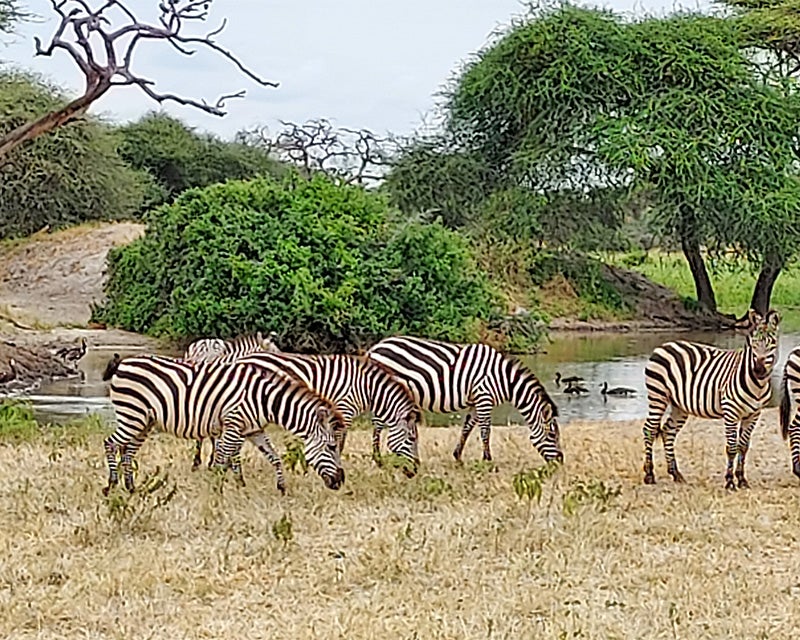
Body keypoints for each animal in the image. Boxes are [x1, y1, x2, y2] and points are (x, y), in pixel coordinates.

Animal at [102, 356, 344, 496]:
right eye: (332, 447)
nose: (340, 482)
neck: (265, 399)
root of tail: (123, 362)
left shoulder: (253, 429)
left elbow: (274, 457)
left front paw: (281, 487)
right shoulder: (233, 425)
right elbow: (222, 460)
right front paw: (217, 492)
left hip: (144, 421)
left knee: (128, 451)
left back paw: (131, 488)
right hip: (132, 415)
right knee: (110, 443)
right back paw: (111, 485)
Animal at [193, 352, 422, 478]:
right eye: (412, 440)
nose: (415, 471)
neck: (365, 387)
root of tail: (240, 358)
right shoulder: (343, 408)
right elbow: (338, 443)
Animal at [364, 336, 560, 464]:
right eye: (552, 435)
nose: (560, 462)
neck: (503, 379)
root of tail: (375, 347)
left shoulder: (476, 401)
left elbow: (467, 428)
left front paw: (457, 456)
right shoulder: (484, 398)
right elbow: (485, 431)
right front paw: (488, 461)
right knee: (378, 422)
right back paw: (377, 458)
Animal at [644, 310, 780, 490]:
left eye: (772, 344)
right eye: (754, 344)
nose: (758, 370)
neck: (757, 384)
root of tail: (663, 346)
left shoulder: (753, 414)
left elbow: (743, 447)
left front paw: (742, 479)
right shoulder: (731, 411)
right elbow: (732, 447)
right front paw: (729, 481)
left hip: (679, 405)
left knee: (668, 431)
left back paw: (676, 474)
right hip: (658, 396)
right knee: (650, 430)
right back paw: (649, 475)